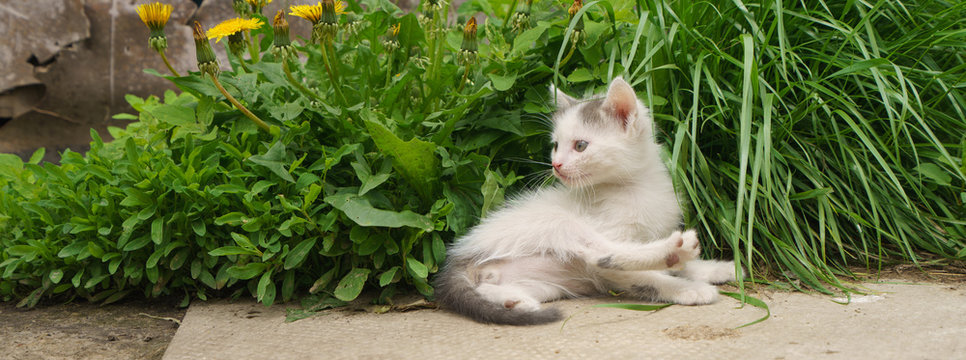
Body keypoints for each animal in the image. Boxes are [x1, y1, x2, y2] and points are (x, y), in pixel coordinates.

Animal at [434, 77, 736, 324]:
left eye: (580, 146)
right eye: (556, 145)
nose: (555, 165)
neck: (635, 187)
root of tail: (459, 256)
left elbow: (685, 269)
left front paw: (718, 268)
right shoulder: (610, 245)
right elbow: (647, 278)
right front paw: (688, 288)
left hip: (544, 282)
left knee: (487, 286)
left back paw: (515, 301)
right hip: (558, 222)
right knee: (600, 254)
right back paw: (672, 251)